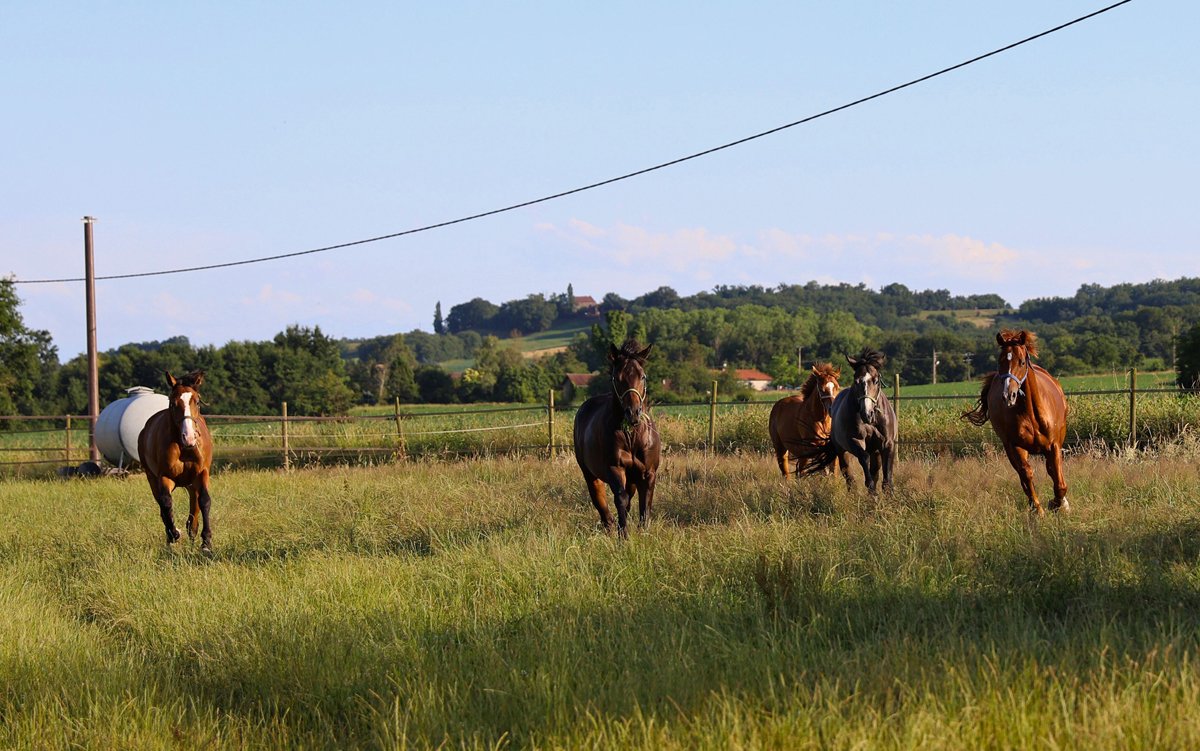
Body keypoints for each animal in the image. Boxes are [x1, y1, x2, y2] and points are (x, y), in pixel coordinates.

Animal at [137, 370, 215, 552]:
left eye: (197, 401)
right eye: (173, 403)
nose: (189, 437)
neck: (185, 448)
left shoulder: (202, 473)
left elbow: (205, 501)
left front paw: (206, 543)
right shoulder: (164, 477)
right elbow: (166, 503)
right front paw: (174, 533)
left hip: (191, 484)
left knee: (194, 510)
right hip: (152, 478)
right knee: (162, 506)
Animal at [573, 340, 661, 539]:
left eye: (642, 377)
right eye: (617, 377)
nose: (633, 413)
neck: (632, 436)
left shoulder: (648, 473)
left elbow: (645, 505)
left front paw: (643, 533)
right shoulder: (615, 468)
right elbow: (620, 499)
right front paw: (623, 536)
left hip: (632, 479)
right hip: (590, 474)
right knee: (601, 502)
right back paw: (610, 527)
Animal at [796, 348, 897, 494]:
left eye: (876, 381)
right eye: (856, 381)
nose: (867, 413)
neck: (871, 422)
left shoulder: (887, 443)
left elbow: (886, 473)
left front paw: (887, 492)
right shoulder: (854, 441)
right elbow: (864, 458)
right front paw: (871, 488)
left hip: (875, 451)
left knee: (874, 471)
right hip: (842, 451)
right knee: (848, 475)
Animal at [962, 329, 1069, 515]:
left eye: (1021, 362)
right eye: (1000, 361)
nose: (1008, 395)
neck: (1032, 414)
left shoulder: (1054, 445)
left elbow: (1059, 482)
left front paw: (1058, 504)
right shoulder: (1015, 446)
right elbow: (1027, 474)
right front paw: (1039, 510)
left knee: (1052, 472)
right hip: (1010, 448)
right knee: (1023, 475)